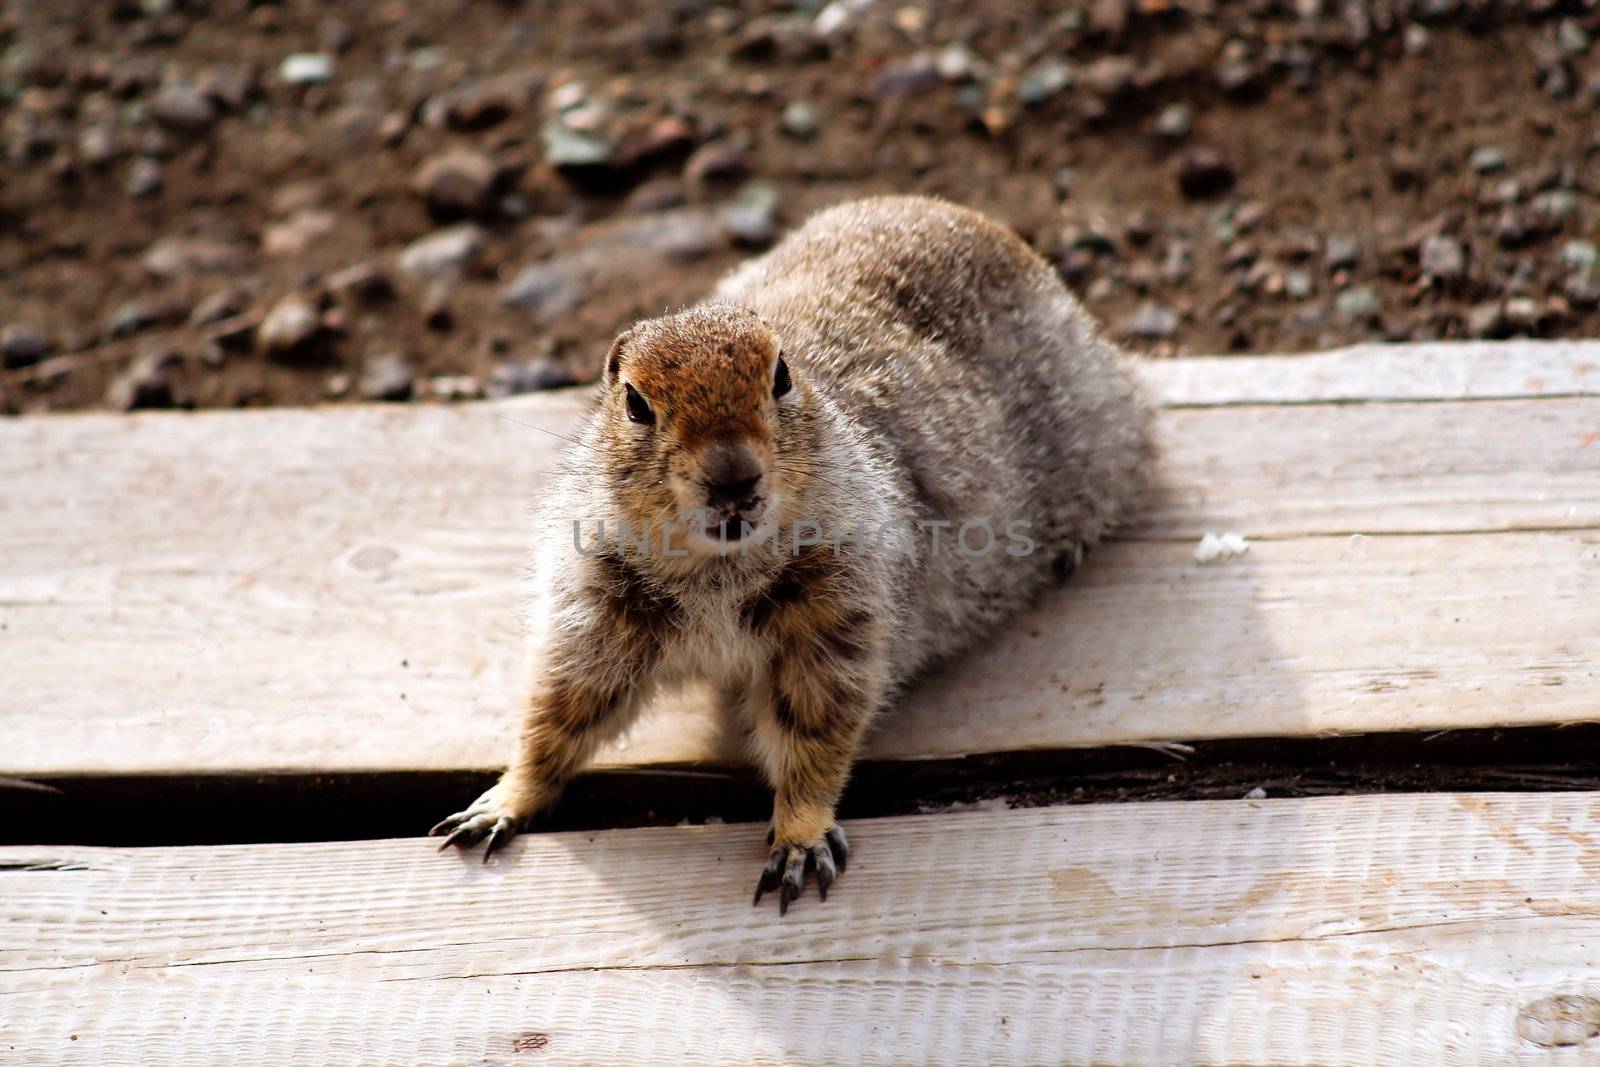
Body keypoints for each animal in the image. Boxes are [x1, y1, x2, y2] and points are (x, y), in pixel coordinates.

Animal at [435, 195, 1152, 915]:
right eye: (635, 403)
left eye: (781, 376)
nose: (734, 476)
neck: (717, 572)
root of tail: (971, 217)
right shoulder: (598, 606)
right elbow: (561, 708)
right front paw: (501, 801)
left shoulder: (835, 612)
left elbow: (815, 729)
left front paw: (800, 839)